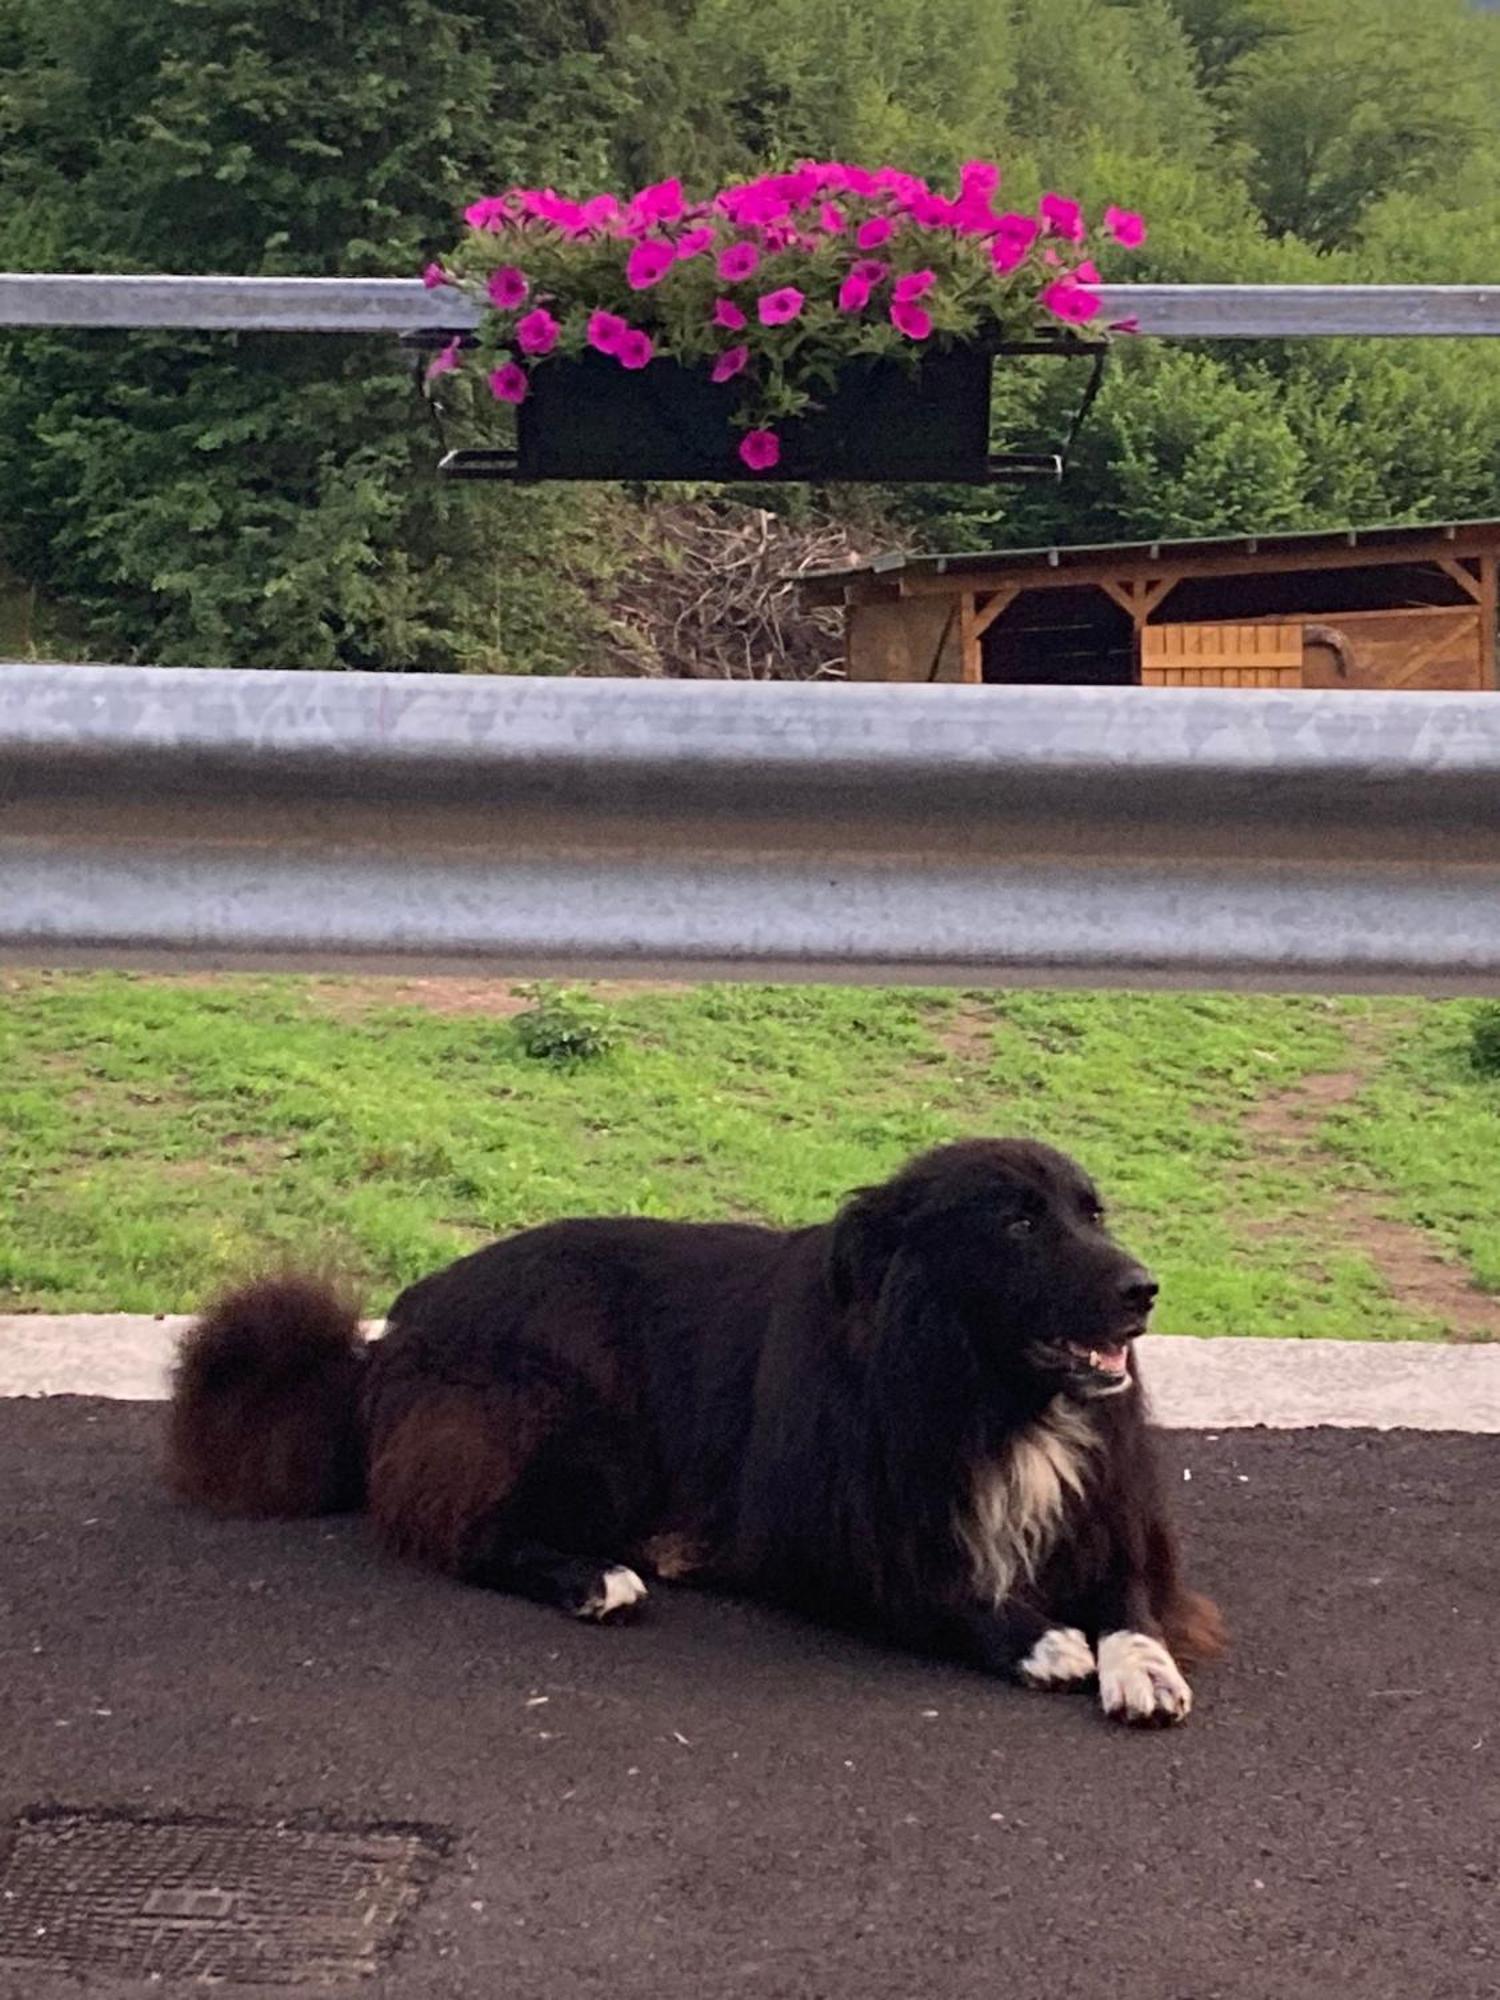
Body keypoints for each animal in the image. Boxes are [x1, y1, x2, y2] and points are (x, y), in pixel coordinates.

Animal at [167, 1144, 1224, 1720]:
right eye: (1016, 1223)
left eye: (1093, 1212)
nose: (1146, 1291)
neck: (988, 1390)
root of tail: (394, 1331)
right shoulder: (830, 1546)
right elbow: (942, 1593)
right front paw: (1042, 1641)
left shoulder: (1107, 1516)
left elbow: (1130, 1597)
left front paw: (1143, 1664)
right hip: (571, 1414)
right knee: (467, 1533)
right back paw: (597, 1577)